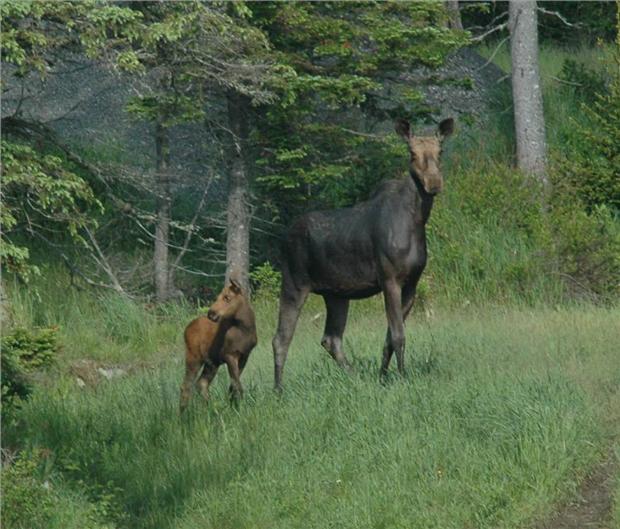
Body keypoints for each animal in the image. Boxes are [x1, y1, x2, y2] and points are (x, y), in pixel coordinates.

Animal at [179, 278, 256, 410]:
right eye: (218, 297)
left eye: (227, 297)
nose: (211, 313)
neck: (245, 329)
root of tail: (186, 330)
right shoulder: (229, 354)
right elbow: (237, 385)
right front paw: (240, 408)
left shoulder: (245, 355)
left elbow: (233, 385)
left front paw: (233, 406)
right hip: (194, 357)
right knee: (186, 386)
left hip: (211, 362)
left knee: (202, 383)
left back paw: (210, 409)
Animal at [274, 117, 452, 388]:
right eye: (412, 153)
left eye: (440, 151)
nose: (433, 183)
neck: (417, 220)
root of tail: (283, 239)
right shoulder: (389, 279)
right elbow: (398, 335)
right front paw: (401, 377)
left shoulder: (411, 283)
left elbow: (390, 337)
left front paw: (383, 377)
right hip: (294, 283)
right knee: (281, 338)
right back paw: (278, 389)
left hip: (336, 293)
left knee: (331, 338)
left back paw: (354, 377)